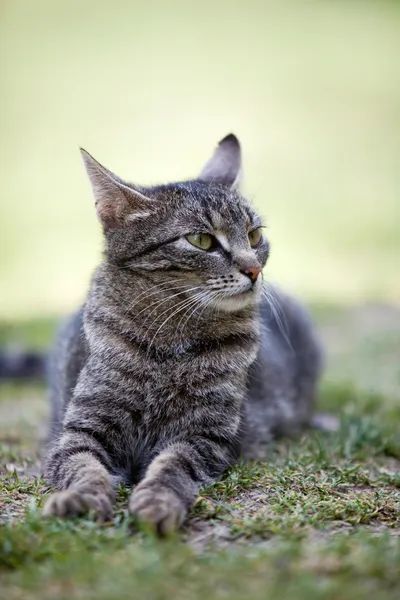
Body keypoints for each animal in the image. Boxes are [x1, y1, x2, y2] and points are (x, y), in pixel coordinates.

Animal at [42, 136, 322, 536]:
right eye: (201, 240)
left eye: (254, 236)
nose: (253, 269)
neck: (170, 338)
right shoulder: (83, 429)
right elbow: (83, 467)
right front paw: (79, 499)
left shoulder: (205, 436)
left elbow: (172, 467)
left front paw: (158, 501)